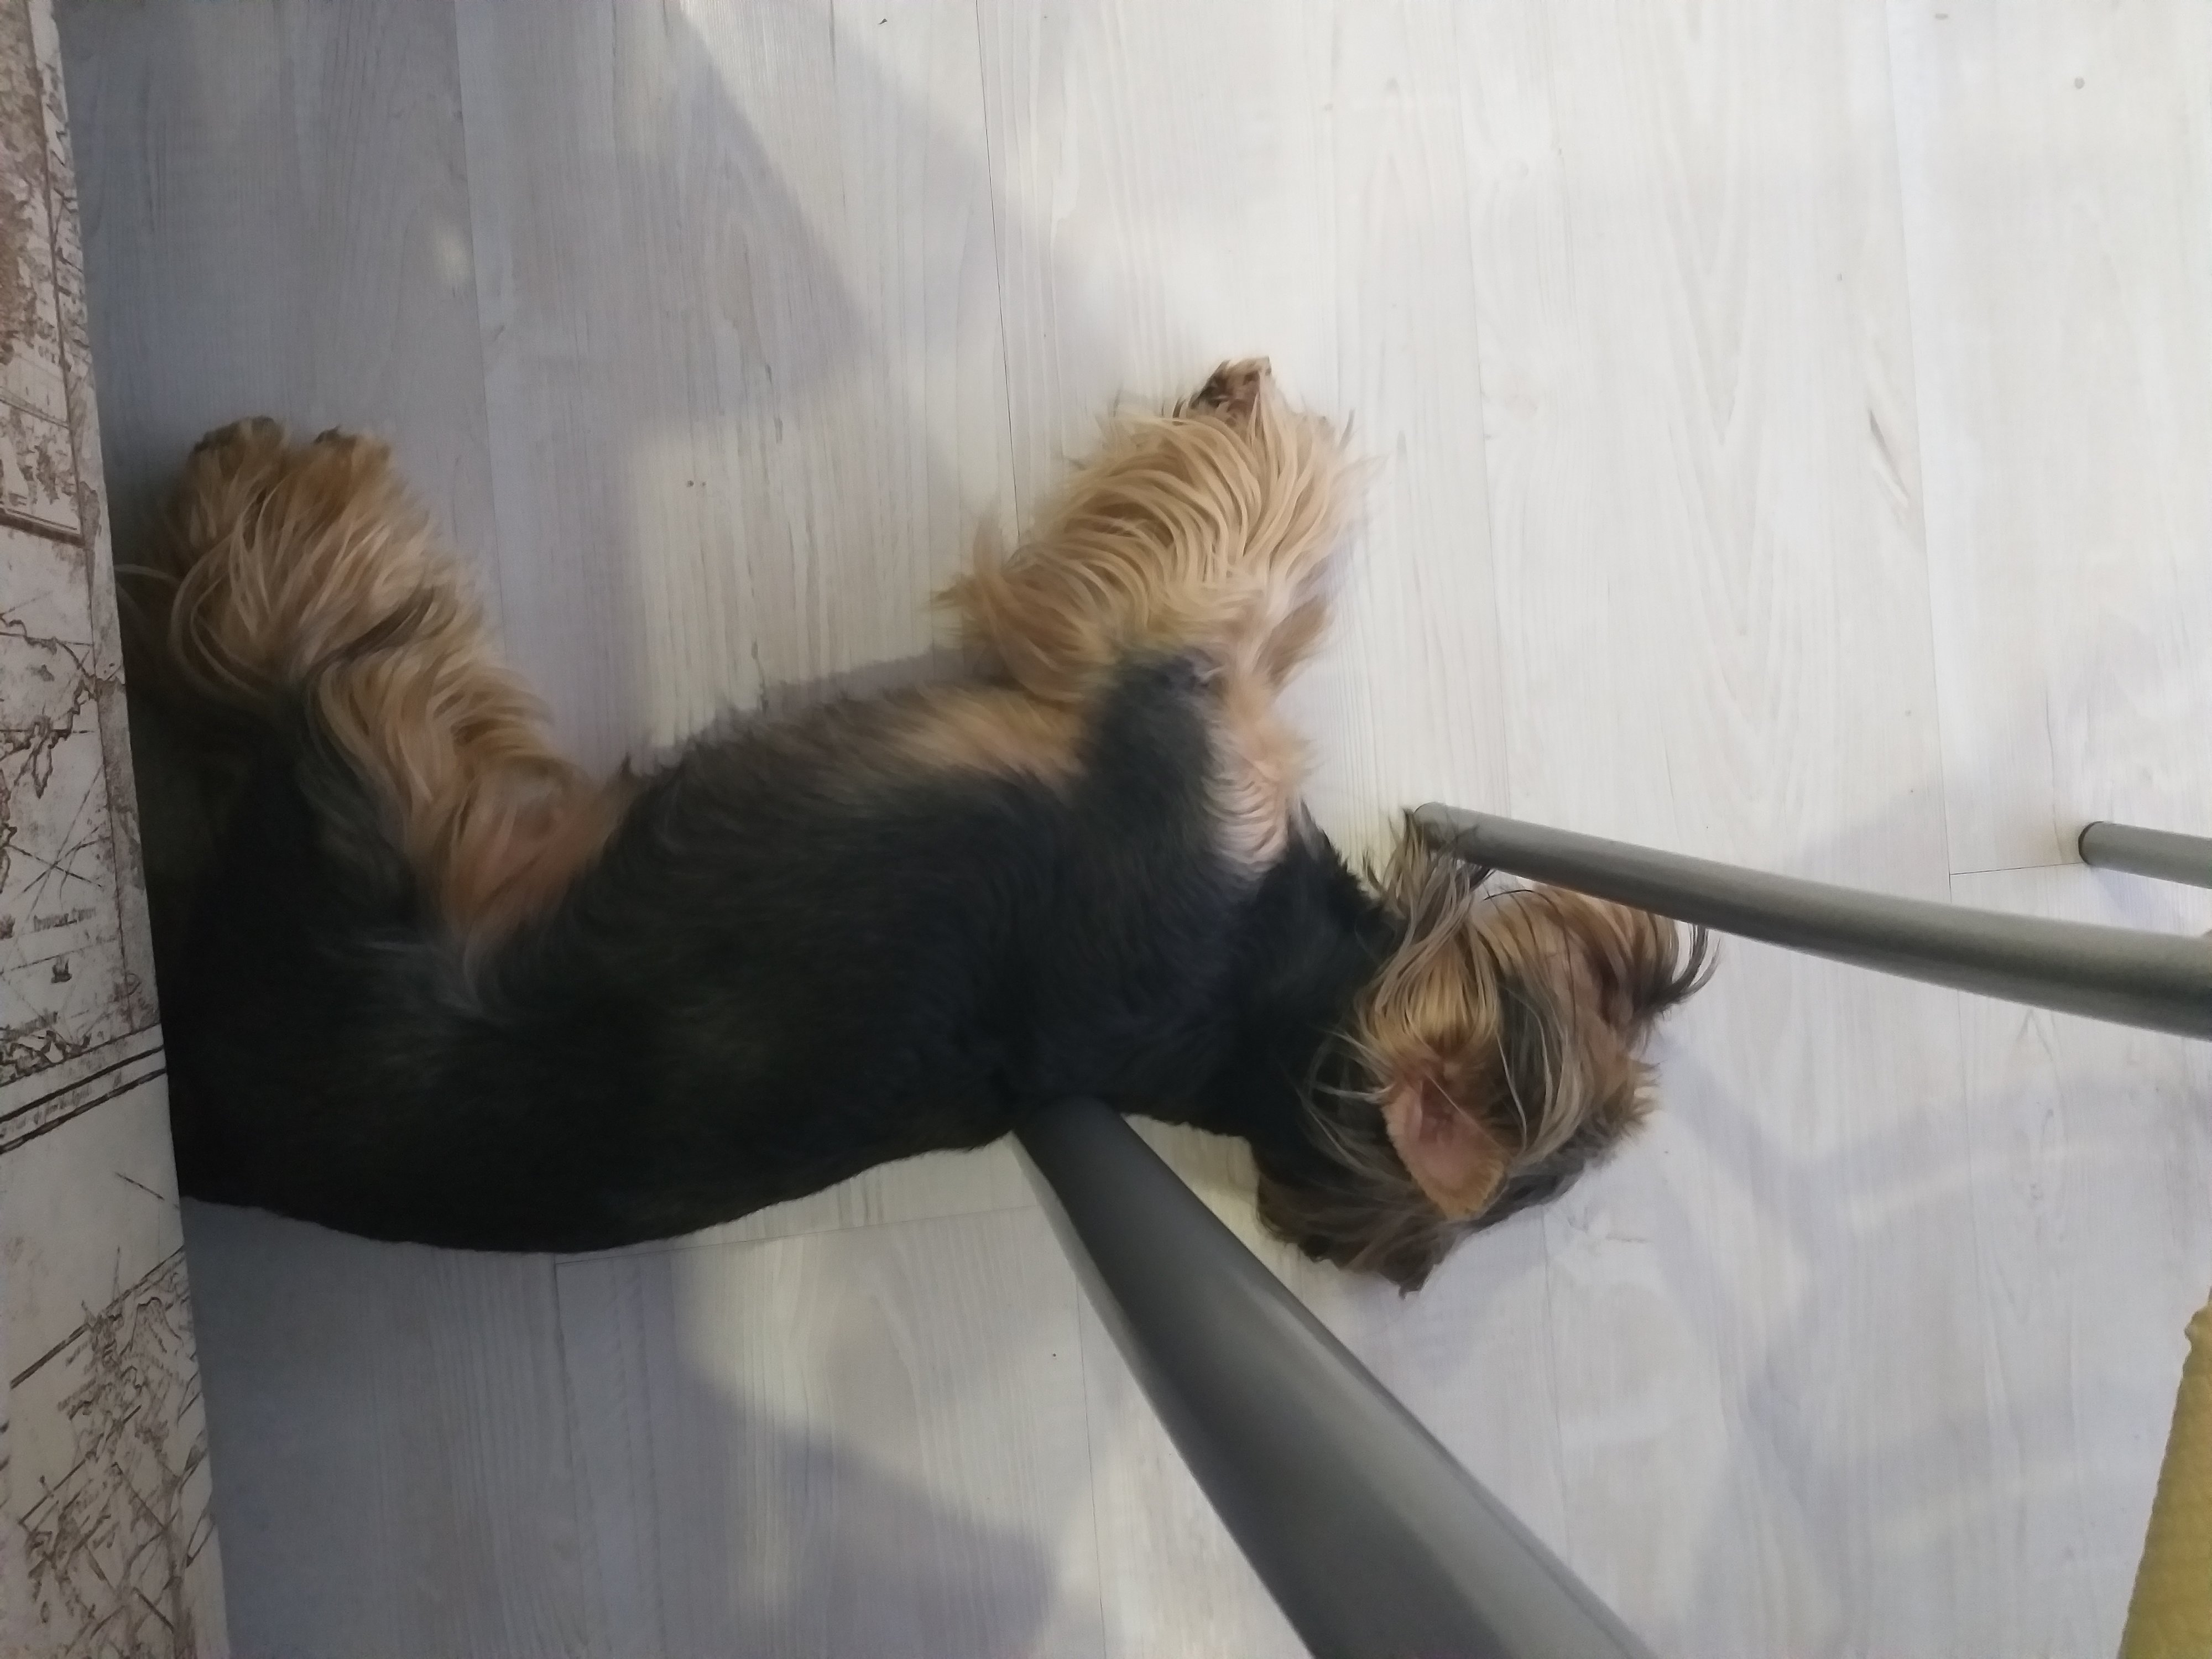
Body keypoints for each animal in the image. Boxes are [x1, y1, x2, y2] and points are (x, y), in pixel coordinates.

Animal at [130, 360, 1707, 1289]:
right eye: (1604, 1006)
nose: (1656, 947)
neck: (1265, 1022)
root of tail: (210, 1130)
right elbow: (1254, 605)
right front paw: (1237, 406)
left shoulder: (1155, 675)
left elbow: (1221, 563)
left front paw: (1245, 430)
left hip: (360, 827)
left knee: (310, 664)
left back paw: (260, 494)